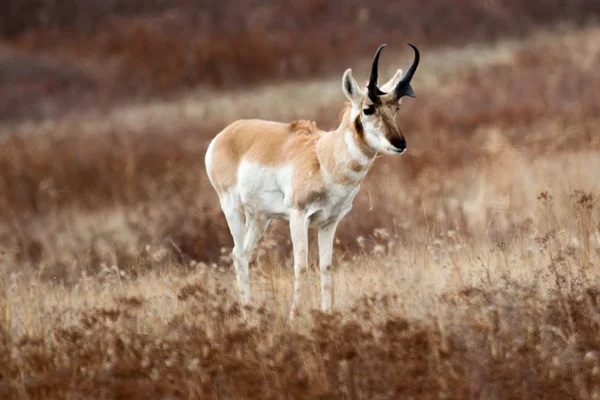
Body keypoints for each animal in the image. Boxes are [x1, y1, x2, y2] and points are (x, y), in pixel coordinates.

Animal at [204, 43, 420, 318]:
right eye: (368, 109)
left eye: (396, 108)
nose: (400, 143)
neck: (323, 156)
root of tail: (227, 132)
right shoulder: (298, 217)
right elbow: (302, 266)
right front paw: (293, 317)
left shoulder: (329, 222)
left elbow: (326, 267)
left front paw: (328, 314)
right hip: (232, 209)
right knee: (238, 253)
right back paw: (247, 312)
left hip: (260, 218)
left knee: (241, 252)